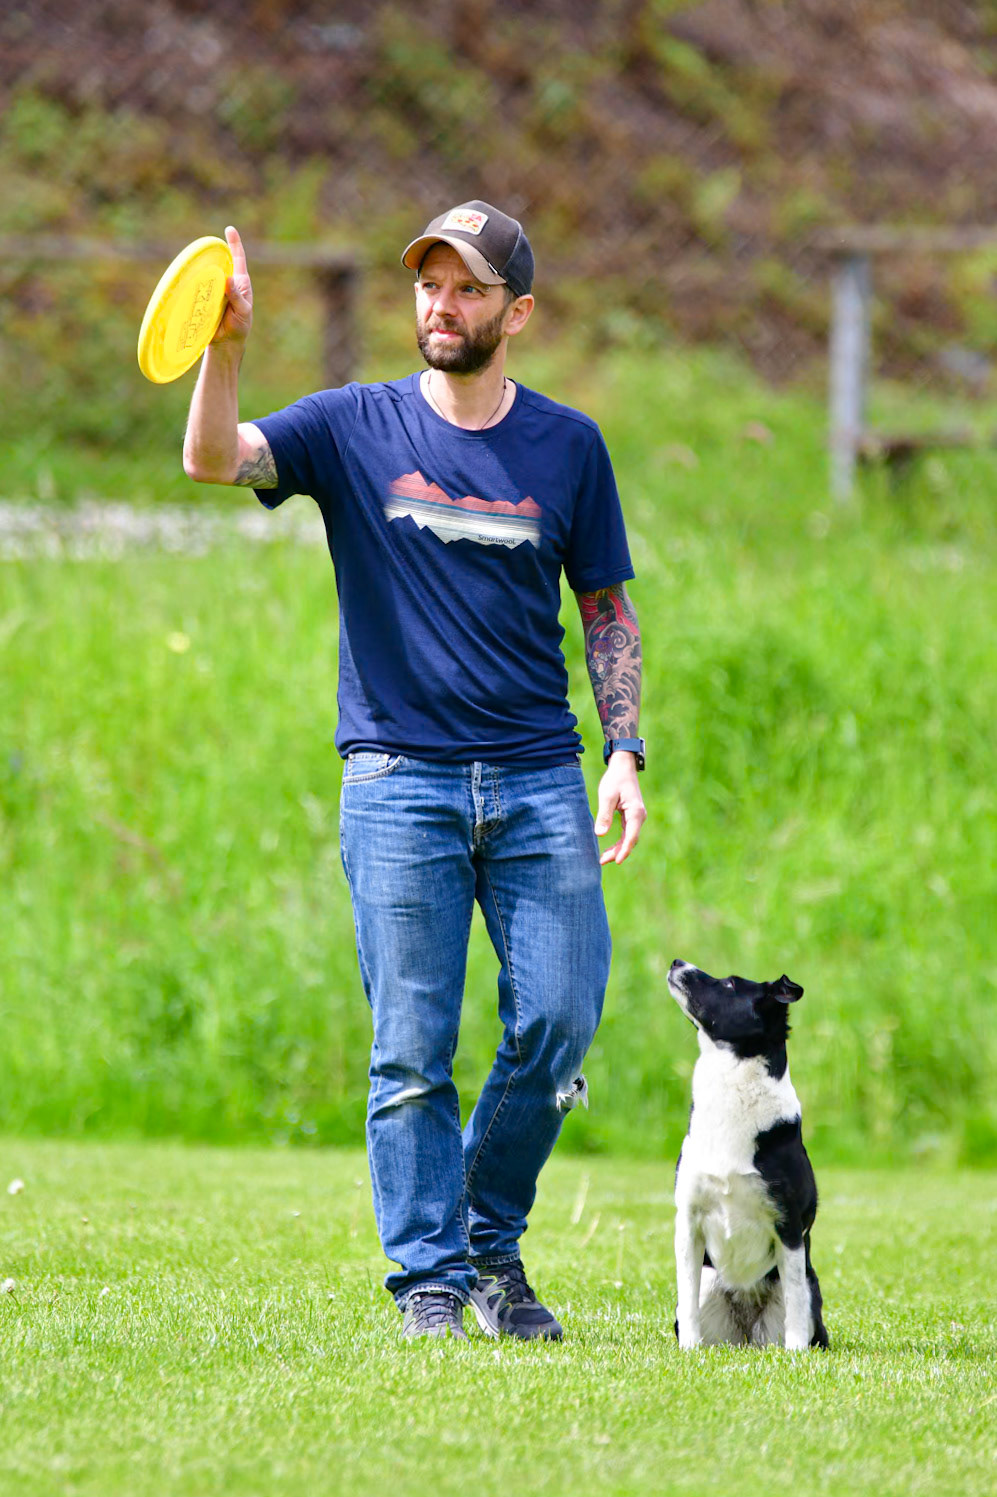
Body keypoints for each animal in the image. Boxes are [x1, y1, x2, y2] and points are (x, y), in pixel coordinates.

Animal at [666, 959, 829, 1351]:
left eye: (729, 984)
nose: (677, 962)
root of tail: (744, 1336)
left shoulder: (788, 1226)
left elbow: (795, 1303)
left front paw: (796, 1354)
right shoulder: (688, 1220)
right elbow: (686, 1293)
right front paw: (688, 1349)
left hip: (805, 1288)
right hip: (711, 1283)